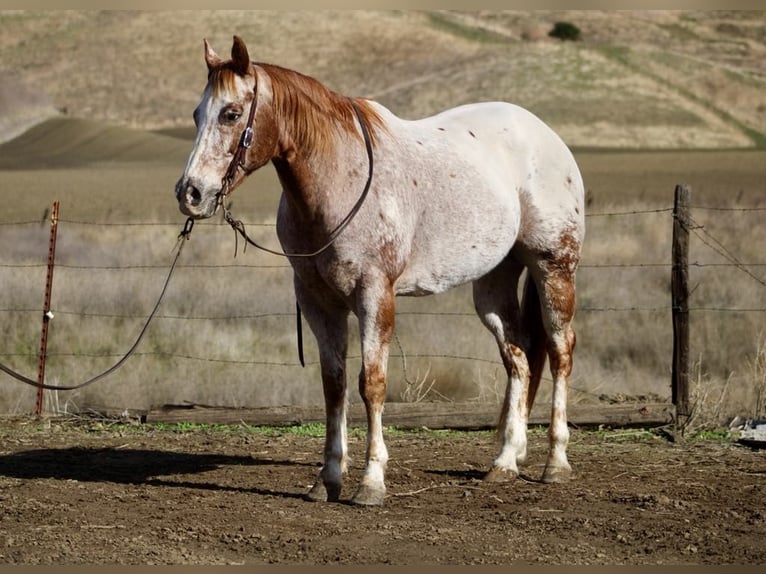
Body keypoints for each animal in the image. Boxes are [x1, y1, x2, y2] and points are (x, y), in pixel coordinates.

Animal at [177, 36, 588, 506]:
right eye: (197, 114)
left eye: (230, 113)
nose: (190, 193)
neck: (338, 179)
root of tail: (546, 137)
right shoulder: (318, 302)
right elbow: (334, 384)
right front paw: (328, 478)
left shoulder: (375, 295)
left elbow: (371, 383)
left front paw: (371, 482)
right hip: (494, 283)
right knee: (518, 357)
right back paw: (504, 462)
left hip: (553, 269)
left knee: (559, 352)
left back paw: (555, 463)